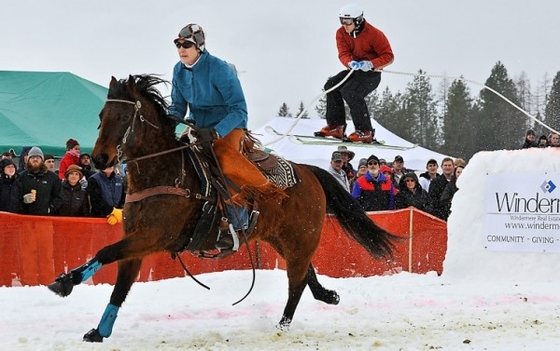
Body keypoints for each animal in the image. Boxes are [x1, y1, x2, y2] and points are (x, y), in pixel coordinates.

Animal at [48, 75, 398, 344]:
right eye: (101, 116)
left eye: (123, 118)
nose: (100, 159)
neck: (164, 170)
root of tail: (310, 172)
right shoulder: (136, 241)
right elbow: (119, 285)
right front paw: (98, 329)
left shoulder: (152, 236)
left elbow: (105, 252)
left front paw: (66, 282)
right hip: (282, 238)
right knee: (306, 273)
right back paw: (327, 296)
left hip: (301, 238)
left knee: (297, 282)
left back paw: (282, 326)